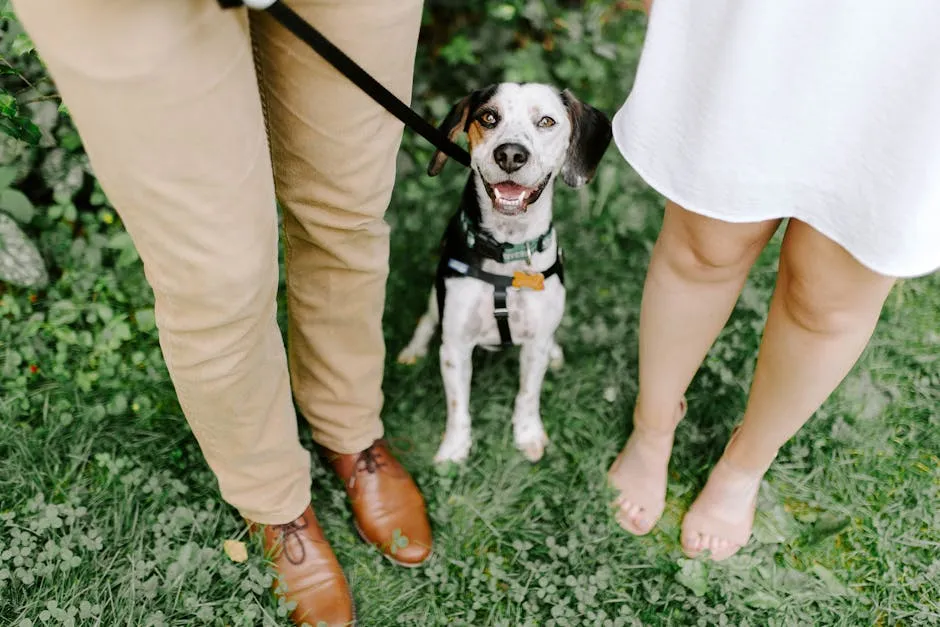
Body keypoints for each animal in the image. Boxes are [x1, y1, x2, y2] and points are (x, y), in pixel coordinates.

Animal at [398, 83, 612, 464]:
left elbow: (527, 395)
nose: (511, 154)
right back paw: (413, 349)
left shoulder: (535, 343)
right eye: (488, 117)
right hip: (437, 302)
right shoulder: (455, 346)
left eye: (546, 121)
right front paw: (454, 450)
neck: (506, 248)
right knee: (426, 318)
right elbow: (458, 407)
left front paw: (528, 435)